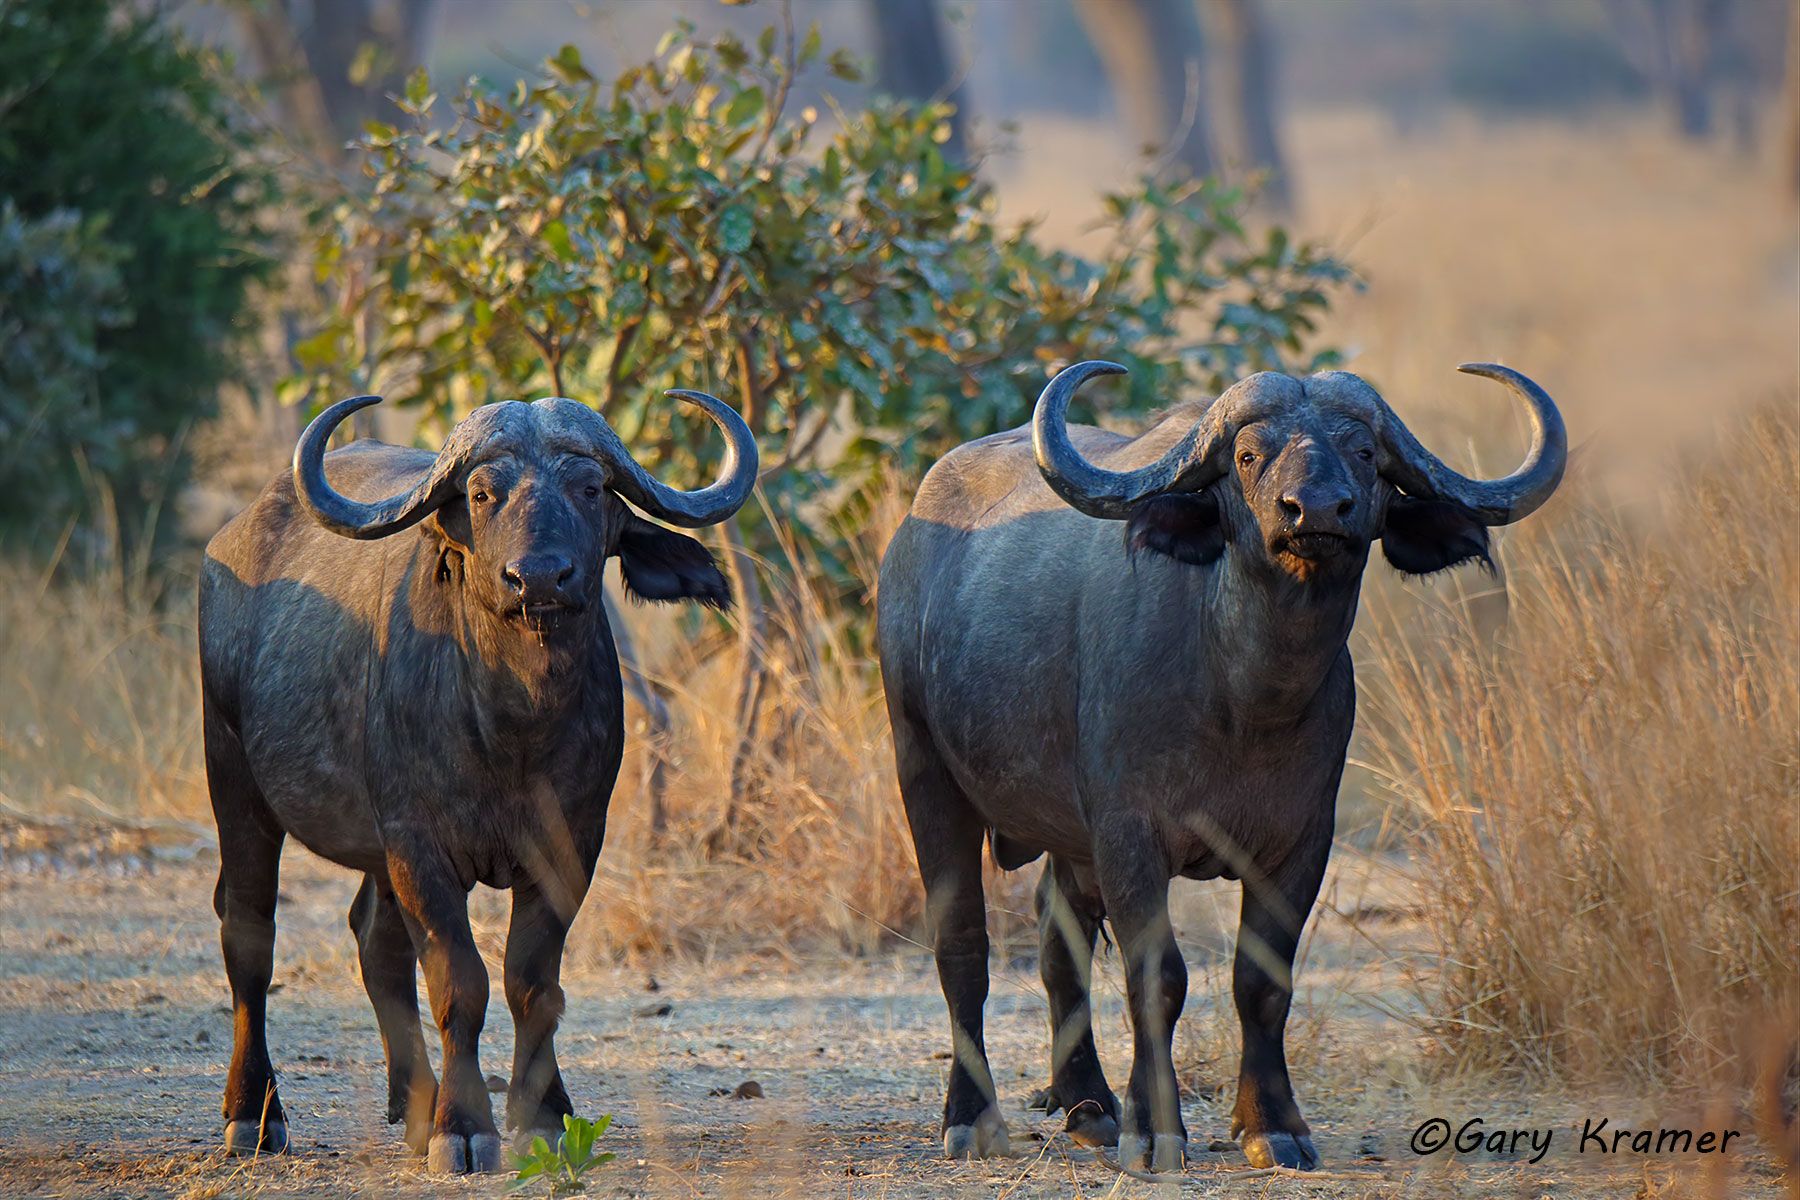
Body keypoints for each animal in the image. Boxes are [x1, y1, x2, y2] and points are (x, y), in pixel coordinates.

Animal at [198, 391, 756, 1173]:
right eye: (484, 493)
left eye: (590, 488)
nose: (540, 578)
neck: (511, 724)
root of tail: (231, 543)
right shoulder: (419, 847)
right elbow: (460, 982)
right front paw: (463, 1127)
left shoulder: (570, 849)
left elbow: (532, 983)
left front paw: (542, 1116)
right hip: (235, 783)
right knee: (250, 936)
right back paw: (253, 1113)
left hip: (371, 851)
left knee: (375, 941)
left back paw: (414, 1103)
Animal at [877, 360, 1565, 1172]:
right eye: (1247, 455)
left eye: (1364, 453)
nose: (1315, 510)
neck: (1243, 695)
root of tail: (911, 541)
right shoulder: (1131, 834)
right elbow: (1158, 977)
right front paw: (1155, 1129)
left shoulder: (1302, 843)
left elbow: (1261, 982)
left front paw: (1274, 1125)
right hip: (924, 768)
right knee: (963, 946)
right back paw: (973, 1118)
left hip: (1069, 840)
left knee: (1055, 939)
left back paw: (1089, 1106)